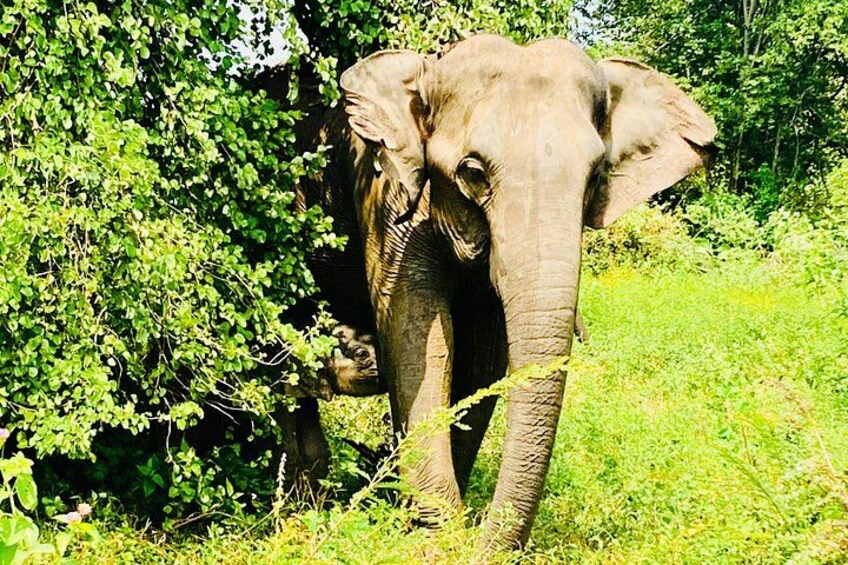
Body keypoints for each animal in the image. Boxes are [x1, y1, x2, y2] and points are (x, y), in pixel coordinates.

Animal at [272, 34, 715, 549]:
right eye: (473, 173)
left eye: (596, 177)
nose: (486, 536)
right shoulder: (386, 199)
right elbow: (419, 341)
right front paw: (437, 534)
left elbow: (482, 356)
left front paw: (440, 524)